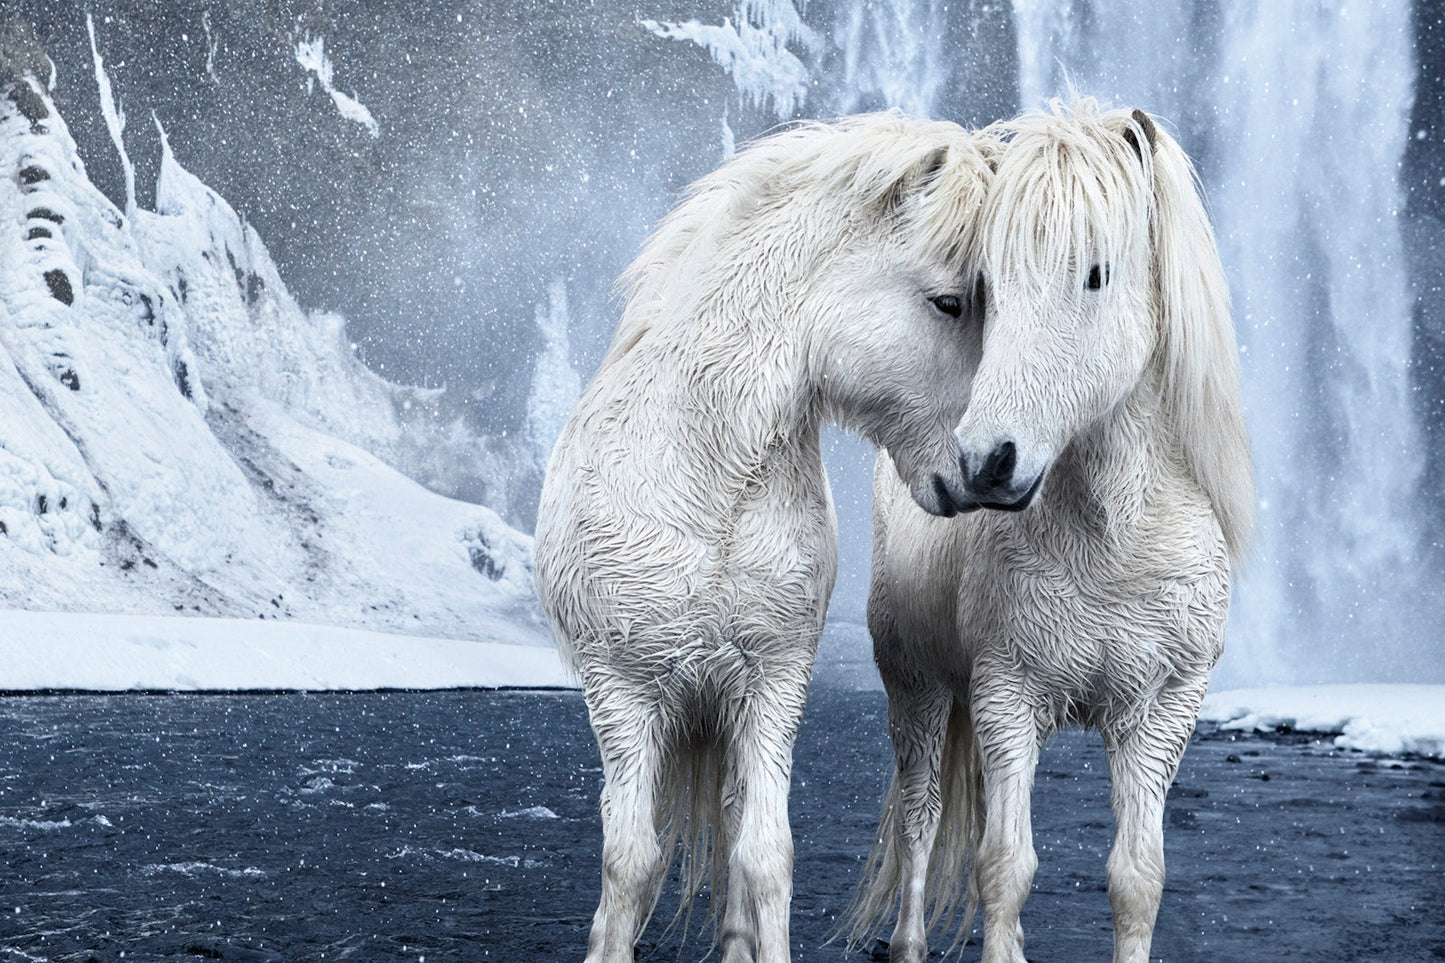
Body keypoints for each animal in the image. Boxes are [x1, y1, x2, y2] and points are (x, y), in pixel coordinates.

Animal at [533, 114, 997, 963]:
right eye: (949, 302)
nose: (988, 468)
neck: (703, 483)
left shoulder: (772, 685)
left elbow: (763, 852)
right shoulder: (622, 692)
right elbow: (630, 859)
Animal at [848, 99, 1255, 963]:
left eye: (1095, 272)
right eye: (989, 284)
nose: (985, 460)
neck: (1115, 540)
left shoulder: (1160, 714)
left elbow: (1136, 877)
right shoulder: (1007, 697)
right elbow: (1003, 866)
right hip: (917, 689)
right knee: (921, 818)